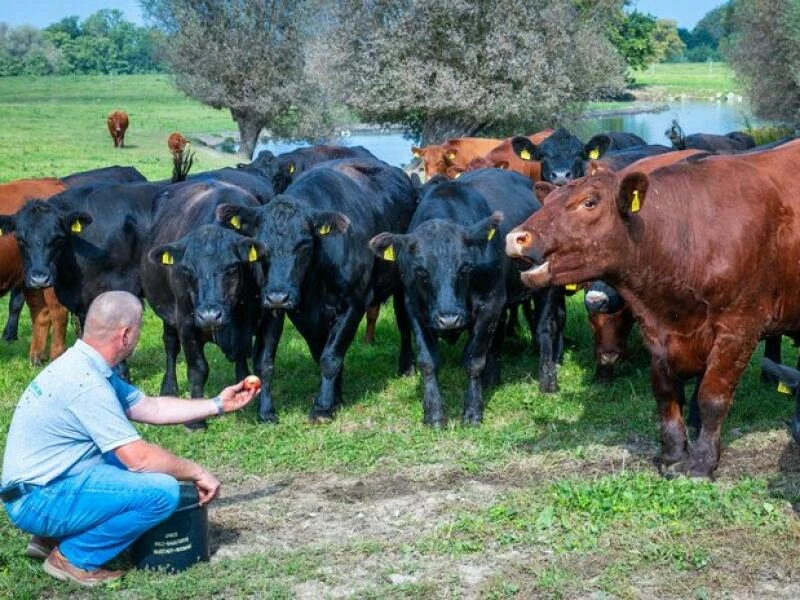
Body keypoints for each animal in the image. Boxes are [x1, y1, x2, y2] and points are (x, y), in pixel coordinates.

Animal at [139, 183, 260, 418]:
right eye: (186, 270)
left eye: (232, 268)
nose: (210, 315)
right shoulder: (186, 322)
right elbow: (197, 369)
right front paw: (195, 419)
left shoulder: (247, 321)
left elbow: (242, 359)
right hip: (167, 313)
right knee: (170, 345)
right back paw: (169, 388)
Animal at [219, 157, 418, 424]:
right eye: (260, 246)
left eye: (304, 244)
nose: (278, 296)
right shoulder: (283, 310)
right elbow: (274, 361)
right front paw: (270, 411)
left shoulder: (354, 303)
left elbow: (330, 357)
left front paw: (323, 408)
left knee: (404, 324)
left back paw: (407, 366)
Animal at [370, 168, 564, 426]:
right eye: (421, 270)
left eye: (465, 267)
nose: (449, 319)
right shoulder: (415, 308)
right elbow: (427, 361)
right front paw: (434, 413)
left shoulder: (490, 304)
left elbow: (474, 359)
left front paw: (472, 411)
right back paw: (492, 378)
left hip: (543, 287)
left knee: (543, 330)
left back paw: (548, 382)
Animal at [510, 139, 800, 478]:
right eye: (549, 200)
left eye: (589, 203)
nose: (516, 237)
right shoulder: (656, 330)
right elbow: (665, 393)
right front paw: (673, 455)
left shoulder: (739, 329)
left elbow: (712, 397)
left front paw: (701, 462)